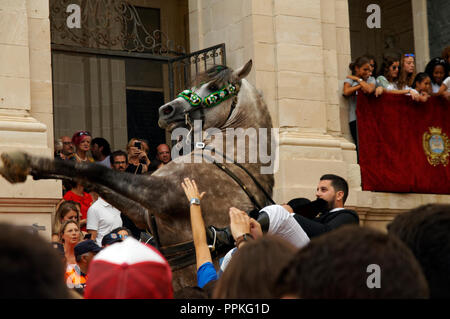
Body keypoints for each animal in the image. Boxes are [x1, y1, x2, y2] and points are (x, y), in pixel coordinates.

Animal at [0, 59, 276, 290]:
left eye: (215, 86)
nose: (166, 110)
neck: (230, 155)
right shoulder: (142, 210)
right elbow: (96, 178)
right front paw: (32, 164)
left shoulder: (164, 196)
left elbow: (95, 170)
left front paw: (23, 161)